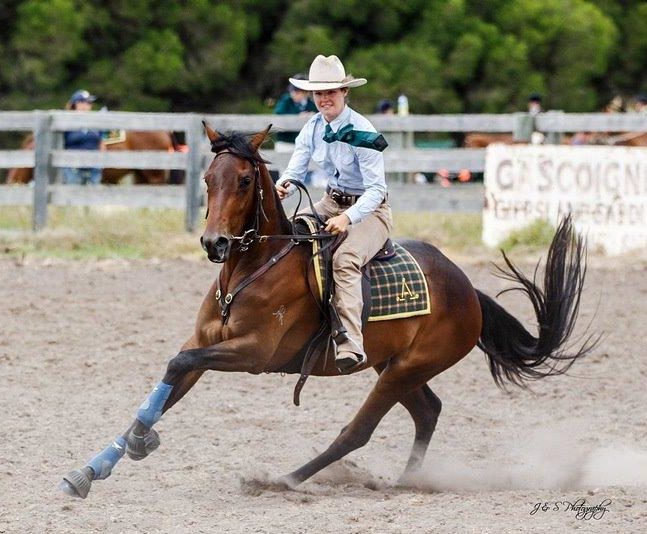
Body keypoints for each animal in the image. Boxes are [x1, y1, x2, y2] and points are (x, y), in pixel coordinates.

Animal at [60, 124, 595, 499]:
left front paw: (138, 443)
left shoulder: (253, 354)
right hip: (395, 366)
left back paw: (283, 480)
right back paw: (407, 480)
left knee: (358, 431)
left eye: (246, 179)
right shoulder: (205, 344)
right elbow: (168, 382)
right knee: (428, 411)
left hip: (404, 369)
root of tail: (466, 287)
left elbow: (177, 366)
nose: (215, 243)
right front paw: (95, 466)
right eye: (209, 180)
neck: (252, 269)